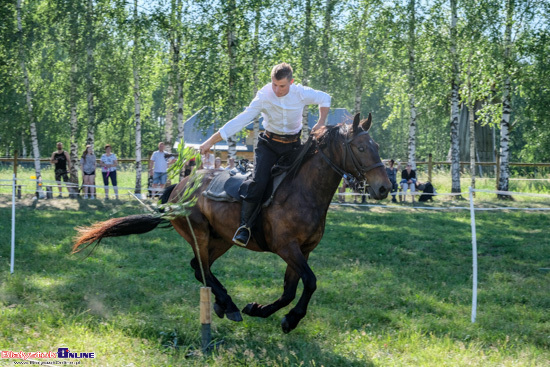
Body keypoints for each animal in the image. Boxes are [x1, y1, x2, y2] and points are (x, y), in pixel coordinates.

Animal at [73, 113, 392, 334]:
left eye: (376, 146)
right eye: (361, 148)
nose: (384, 188)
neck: (303, 191)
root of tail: (178, 187)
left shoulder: (302, 251)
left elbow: (291, 289)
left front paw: (261, 310)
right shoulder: (287, 247)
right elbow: (310, 282)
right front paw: (289, 319)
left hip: (222, 239)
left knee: (199, 269)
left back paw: (224, 304)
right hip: (200, 234)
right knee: (201, 268)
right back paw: (229, 305)